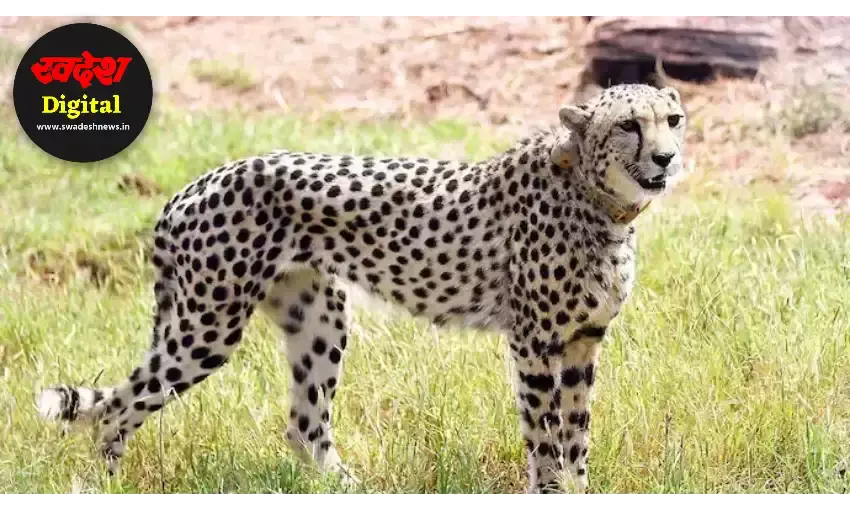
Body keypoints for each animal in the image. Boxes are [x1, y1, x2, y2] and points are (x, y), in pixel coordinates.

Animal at [36, 83, 687, 495]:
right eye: (629, 125)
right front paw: (553, 488)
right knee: (114, 409)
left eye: (673, 120)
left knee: (305, 427)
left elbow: (577, 435)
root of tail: (193, 185)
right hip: (207, 328)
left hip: (318, 318)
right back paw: (106, 484)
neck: (600, 200)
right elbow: (545, 436)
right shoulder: (534, 342)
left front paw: (580, 486)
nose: (666, 157)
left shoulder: (582, 342)